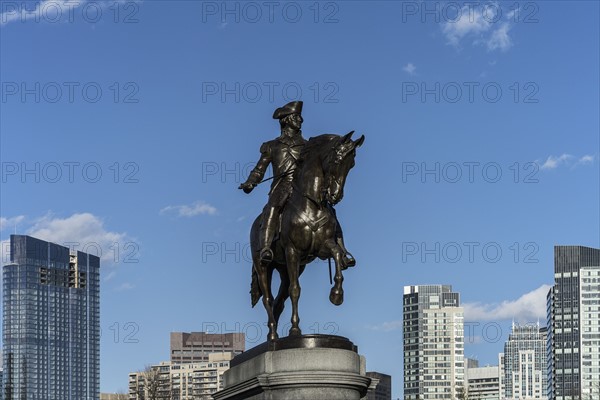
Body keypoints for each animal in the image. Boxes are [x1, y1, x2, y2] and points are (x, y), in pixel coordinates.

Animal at [248, 130, 366, 340]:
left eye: (351, 164)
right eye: (337, 159)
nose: (335, 196)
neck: (312, 204)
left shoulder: (321, 248)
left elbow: (337, 253)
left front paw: (336, 294)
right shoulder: (292, 251)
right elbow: (296, 290)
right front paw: (295, 330)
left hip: (285, 268)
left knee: (280, 300)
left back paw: (273, 333)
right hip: (264, 266)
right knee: (268, 298)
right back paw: (272, 334)